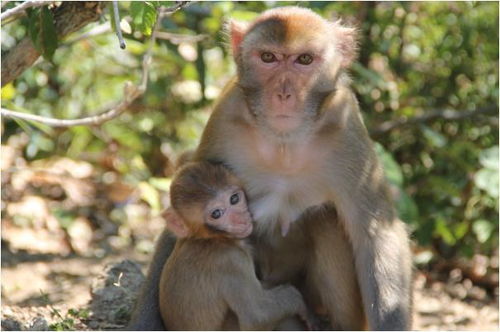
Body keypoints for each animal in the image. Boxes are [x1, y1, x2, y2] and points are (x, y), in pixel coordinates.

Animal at [128, 5, 410, 330]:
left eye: (304, 59)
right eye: (268, 58)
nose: (284, 94)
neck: (284, 142)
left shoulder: (346, 123)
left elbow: (376, 232)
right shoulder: (226, 114)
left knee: (325, 218)